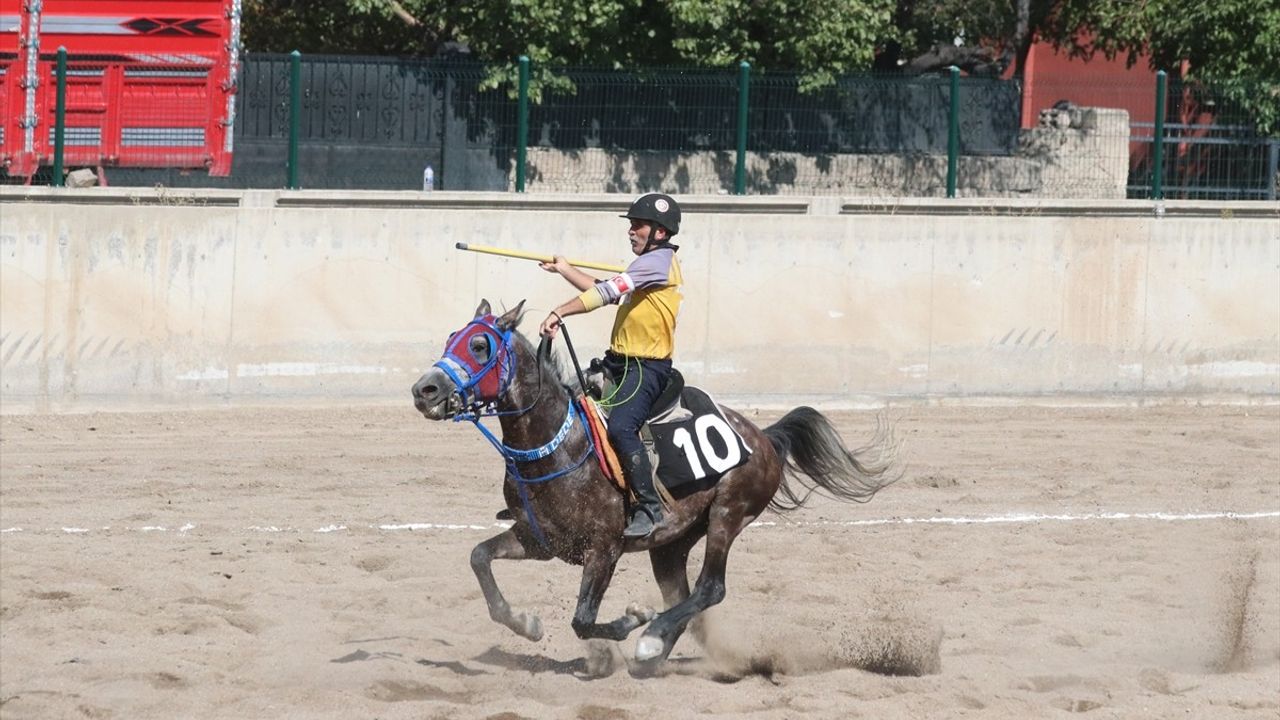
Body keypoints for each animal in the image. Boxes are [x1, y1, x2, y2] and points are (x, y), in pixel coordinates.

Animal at [412, 295, 901, 666]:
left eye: (479, 345)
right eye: (450, 339)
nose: (424, 390)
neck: (560, 444)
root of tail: (764, 437)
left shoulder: (604, 549)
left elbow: (583, 620)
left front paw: (631, 622)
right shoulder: (538, 539)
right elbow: (479, 557)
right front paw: (527, 625)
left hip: (728, 515)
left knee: (710, 589)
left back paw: (650, 639)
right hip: (670, 544)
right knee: (684, 596)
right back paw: (655, 653)